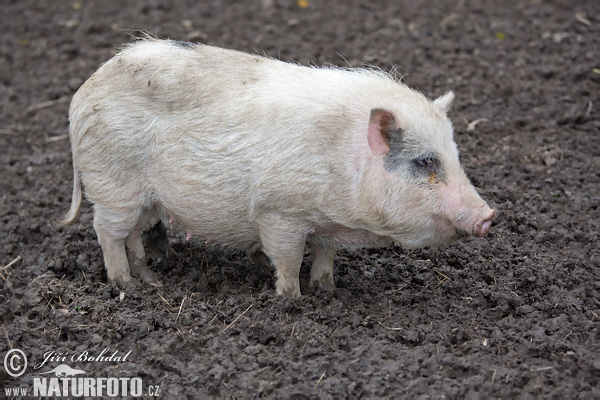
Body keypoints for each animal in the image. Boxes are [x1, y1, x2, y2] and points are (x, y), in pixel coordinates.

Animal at [61, 39, 494, 298]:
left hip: (145, 199)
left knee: (133, 234)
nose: (489, 215)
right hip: (113, 184)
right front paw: (292, 299)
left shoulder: (328, 222)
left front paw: (327, 291)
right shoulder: (280, 212)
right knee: (106, 232)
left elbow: (325, 254)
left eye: (455, 155)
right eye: (425, 161)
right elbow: (287, 258)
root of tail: (83, 93)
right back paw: (126, 285)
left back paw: (152, 280)